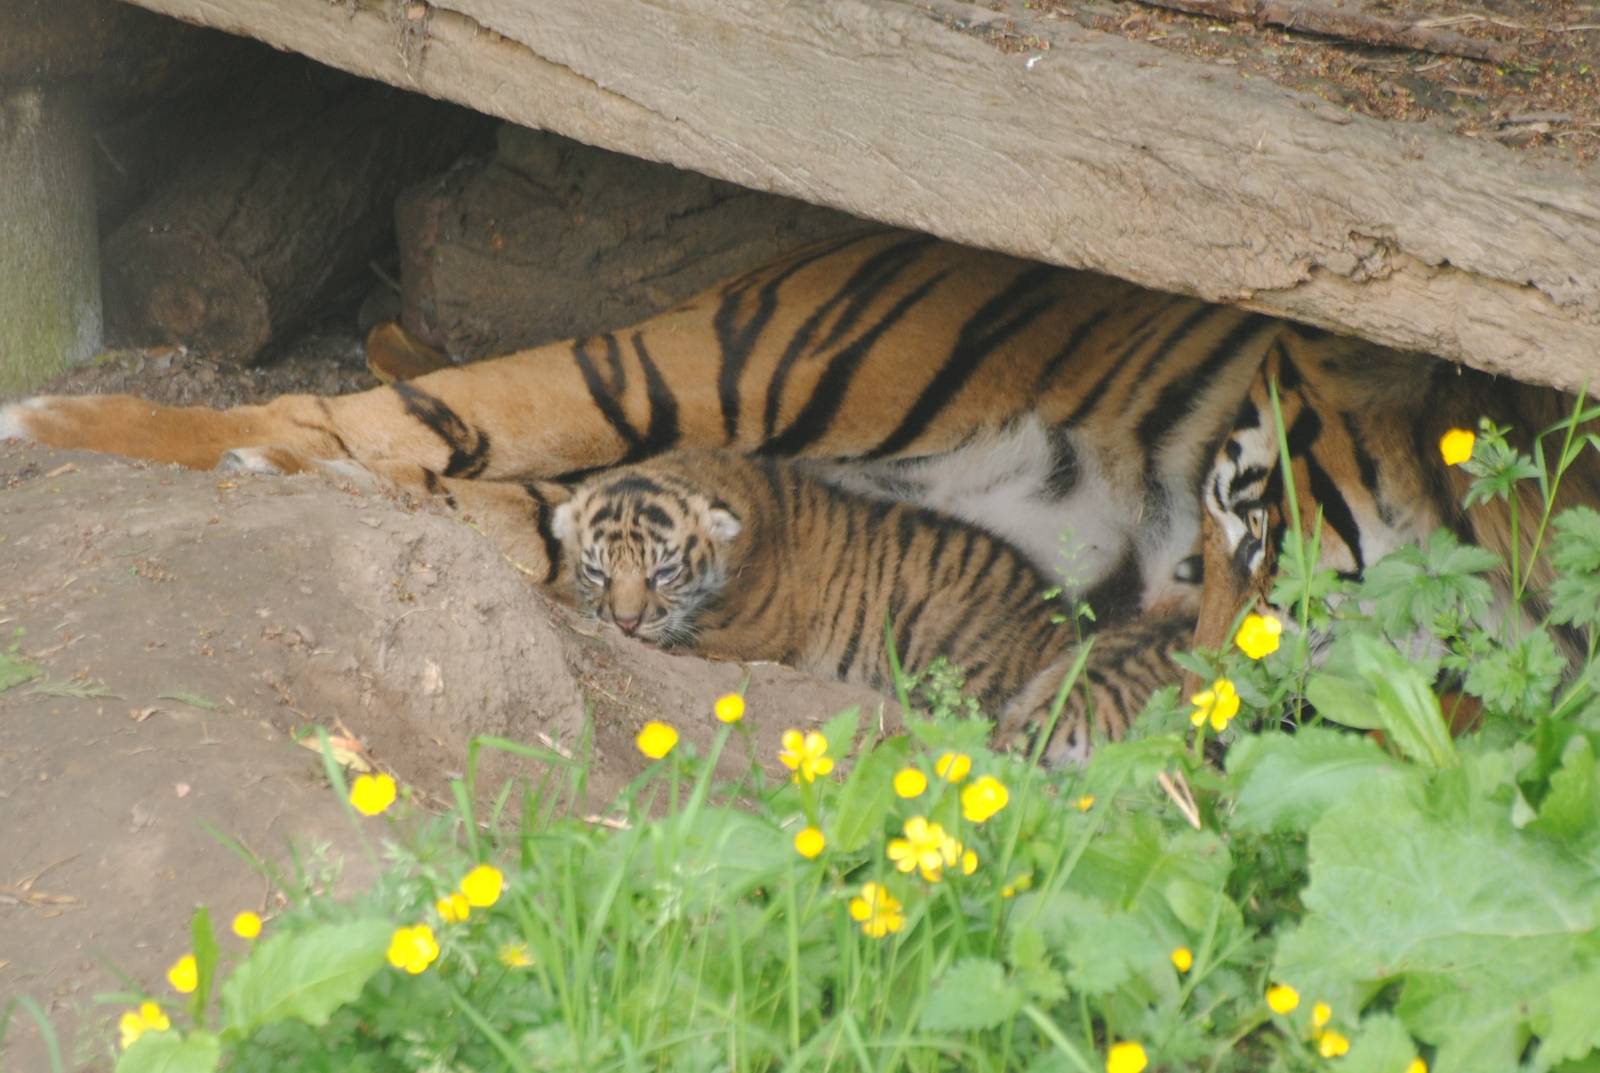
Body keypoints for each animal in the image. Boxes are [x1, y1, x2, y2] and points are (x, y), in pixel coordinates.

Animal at [2, 228, 1592, 755]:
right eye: (1225, 524)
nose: (1189, 642)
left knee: (502, 512)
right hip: (715, 362)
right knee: (372, 416)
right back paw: (56, 417)